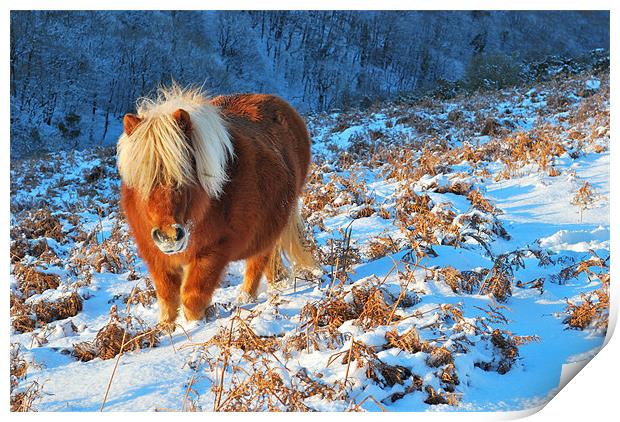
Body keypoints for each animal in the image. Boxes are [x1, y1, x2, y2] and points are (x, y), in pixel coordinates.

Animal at [117, 85, 314, 324]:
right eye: (141, 179)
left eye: (185, 175)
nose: (168, 237)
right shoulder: (156, 256)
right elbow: (167, 299)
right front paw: (165, 329)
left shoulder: (212, 252)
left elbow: (192, 299)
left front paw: (195, 327)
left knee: (258, 262)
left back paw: (245, 298)